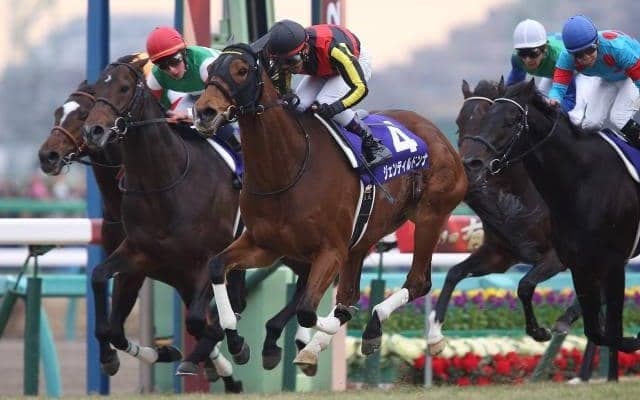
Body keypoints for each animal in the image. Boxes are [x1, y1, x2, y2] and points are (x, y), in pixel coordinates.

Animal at [37, 78, 245, 391]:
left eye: (82, 114)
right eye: (57, 112)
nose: (47, 156)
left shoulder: (176, 267)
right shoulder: (138, 266)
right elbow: (113, 327)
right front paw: (161, 353)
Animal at [191, 43, 467, 368]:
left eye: (241, 70)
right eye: (210, 70)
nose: (204, 112)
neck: (287, 169)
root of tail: (439, 136)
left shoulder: (330, 250)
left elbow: (308, 311)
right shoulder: (265, 245)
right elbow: (217, 266)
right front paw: (236, 342)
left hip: (430, 216)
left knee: (418, 282)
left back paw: (387, 329)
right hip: (365, 236)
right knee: (351, 292)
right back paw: (318, 346)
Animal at [462, 79, 640, 380]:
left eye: (511, 120)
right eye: (484, 118)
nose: (471, 163)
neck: (581, 182)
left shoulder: (612, 263)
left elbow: (612, 329)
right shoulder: (579, 264)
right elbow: (596, 330)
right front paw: (541, 331)